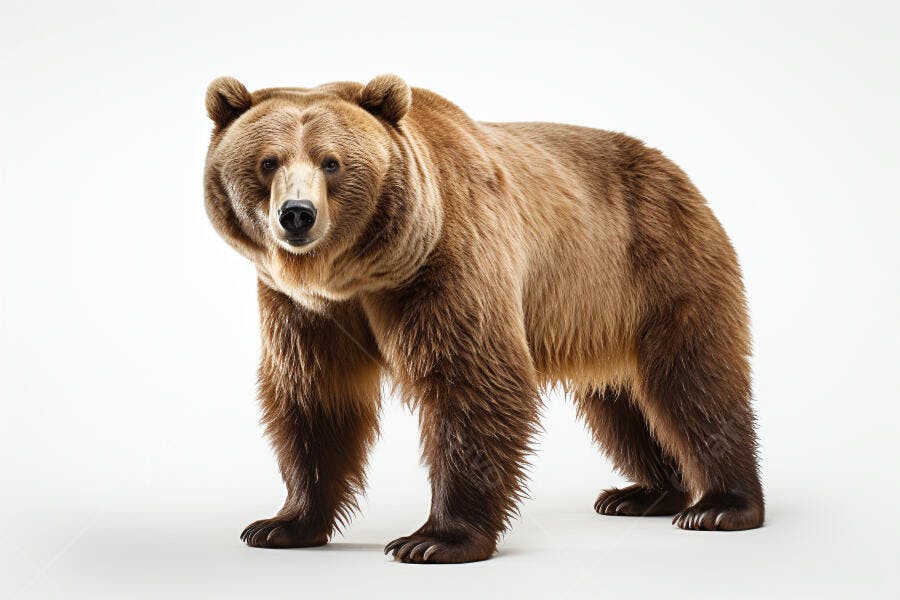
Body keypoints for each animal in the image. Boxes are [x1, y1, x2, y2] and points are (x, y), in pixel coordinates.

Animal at [203, 74, 764, 564]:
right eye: (268, 161)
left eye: (332, 162)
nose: (297, 214)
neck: (357, 272)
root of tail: (672, 166)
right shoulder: (307, 310)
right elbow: (312, 394)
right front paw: (282, 524)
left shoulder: (448, 261)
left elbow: (471, 380)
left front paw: (433, 540)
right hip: (599, 315)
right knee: (621, 402)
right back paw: (647, 493)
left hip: (658, 265)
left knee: (694, 382)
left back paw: (720, 506)